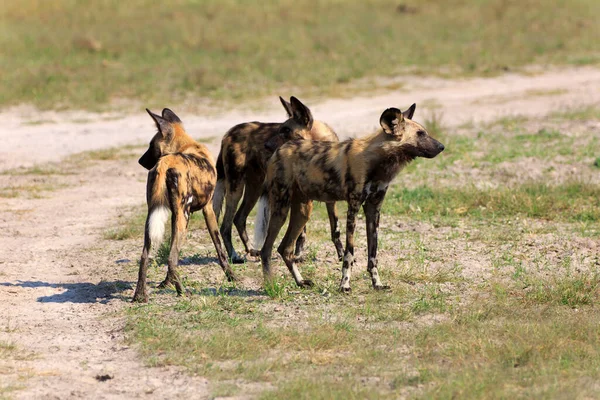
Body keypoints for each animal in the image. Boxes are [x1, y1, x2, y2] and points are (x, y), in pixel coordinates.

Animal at [132, 108, 236, 302]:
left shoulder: (174, 215)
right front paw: (232, 277)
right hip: (183, 218)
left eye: (150, 145)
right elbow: (220, 249)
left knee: (145, 256)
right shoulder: (208, 209)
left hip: (155, 219)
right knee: (171, 259)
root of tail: (166, 161)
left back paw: (140, 295)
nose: (140, 161)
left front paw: (166, 283)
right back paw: (182, 291)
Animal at [213, 96, 344, 264]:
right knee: (225, 225)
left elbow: (335, 230)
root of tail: (228, 133)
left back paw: (252, 250)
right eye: (279, 129)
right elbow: (300, 232)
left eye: (286, 131)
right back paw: (234, 256)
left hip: (254, 189)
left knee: (239, 218)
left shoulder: (329, 200)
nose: (266, 145)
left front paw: (341, 255)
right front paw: (297, 255)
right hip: (236, 188)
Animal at [254, 103, 446, 290]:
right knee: (266, 249)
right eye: (420, 134)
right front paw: (344, 284)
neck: (379, 163)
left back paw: (300, 282)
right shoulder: (353, 208)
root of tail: (279, 150)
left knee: (285, 248)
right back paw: (270, 286)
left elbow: (373, 255)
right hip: (281, 209)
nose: (442, 147)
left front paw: (377, 284)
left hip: (303, 212)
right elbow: (349, 254)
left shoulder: (373, 210)